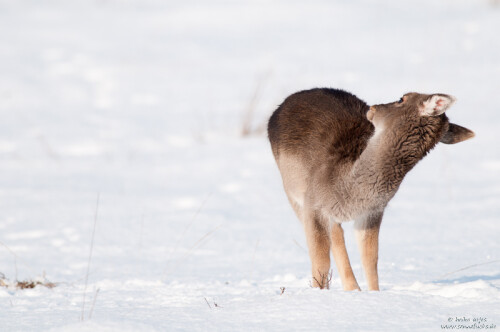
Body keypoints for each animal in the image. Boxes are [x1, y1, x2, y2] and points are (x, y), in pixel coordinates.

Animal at [268, 88, 474, 290]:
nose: (373, 108)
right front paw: (319, 292)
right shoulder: (313, 203)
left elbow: (370, 259)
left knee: (337, 235)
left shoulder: (372, 212)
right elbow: (320, 259)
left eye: (401, 99)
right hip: (290, 190)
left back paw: (353, 288)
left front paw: (372, 293)